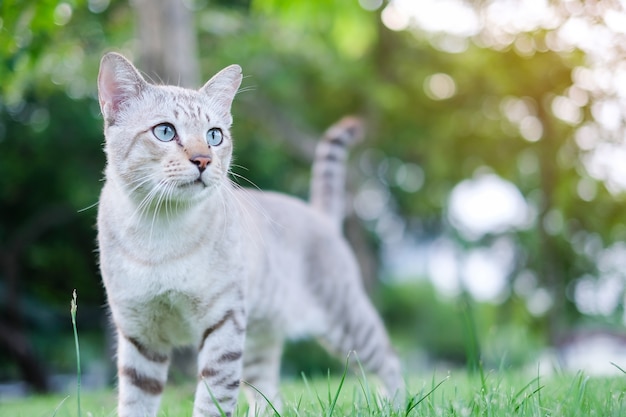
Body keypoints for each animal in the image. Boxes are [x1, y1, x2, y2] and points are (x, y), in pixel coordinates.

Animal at [95, 52, 402, 416]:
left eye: (214, 135)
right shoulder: (139, 333)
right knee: (270, 396)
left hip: (347, 325)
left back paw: (394, 405)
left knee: (390, 362)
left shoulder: (223, 320)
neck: (159, 230)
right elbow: (136, 401)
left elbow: (212, 398)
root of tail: (319, 214)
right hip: (259, 339)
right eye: (165, 131)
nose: (203, 160)